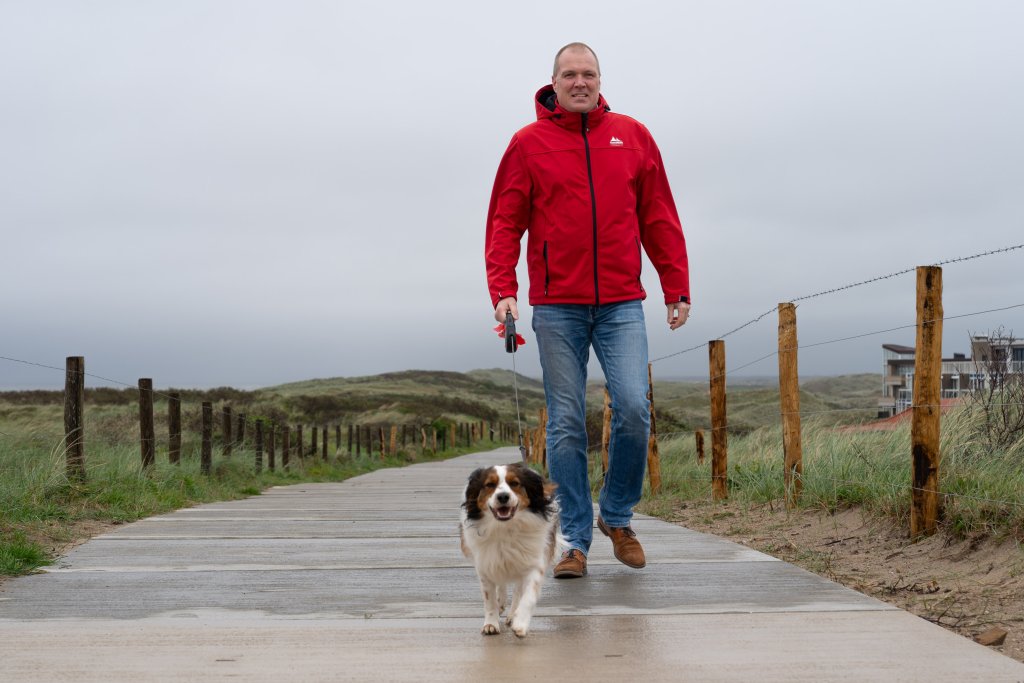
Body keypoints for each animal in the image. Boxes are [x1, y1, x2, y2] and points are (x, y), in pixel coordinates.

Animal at [460, 462, 565, 638]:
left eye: (515, 483)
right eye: (490, 485)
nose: (503, 496)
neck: (506, 528)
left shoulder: (533, 562)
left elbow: (528, 595)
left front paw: (520, 622)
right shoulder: (486, 562)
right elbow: (489, 598)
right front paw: (491, 623)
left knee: (518, 590)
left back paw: (512, 615)